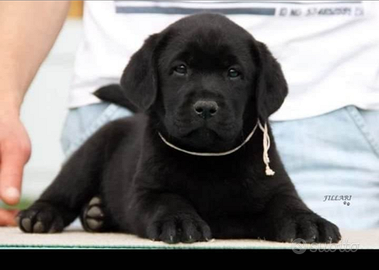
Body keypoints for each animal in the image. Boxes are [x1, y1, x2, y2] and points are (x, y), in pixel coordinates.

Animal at [17, 13, 342, 244]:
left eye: (234, 73)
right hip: (88, 156)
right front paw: (180, 221)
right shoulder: (148, 191)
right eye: (180, 69)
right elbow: (168, 200)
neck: (208, 158)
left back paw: (98, 213)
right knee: (64, 190)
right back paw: (41, 214)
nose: (206, 107)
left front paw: (308, 222)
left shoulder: (276, 187)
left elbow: (288, 204)